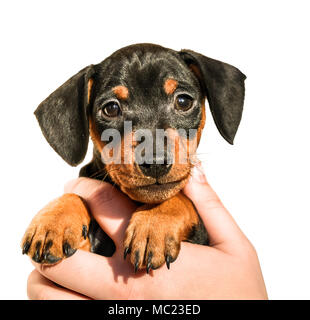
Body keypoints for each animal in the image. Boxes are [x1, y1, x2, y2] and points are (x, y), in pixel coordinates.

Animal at [20, 42, 246, 272]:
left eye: (183, 101)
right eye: (111, 108)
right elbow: (76, 194)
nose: (155, 164)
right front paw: (53, 221)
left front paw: (154, 224)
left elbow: (182, 198)